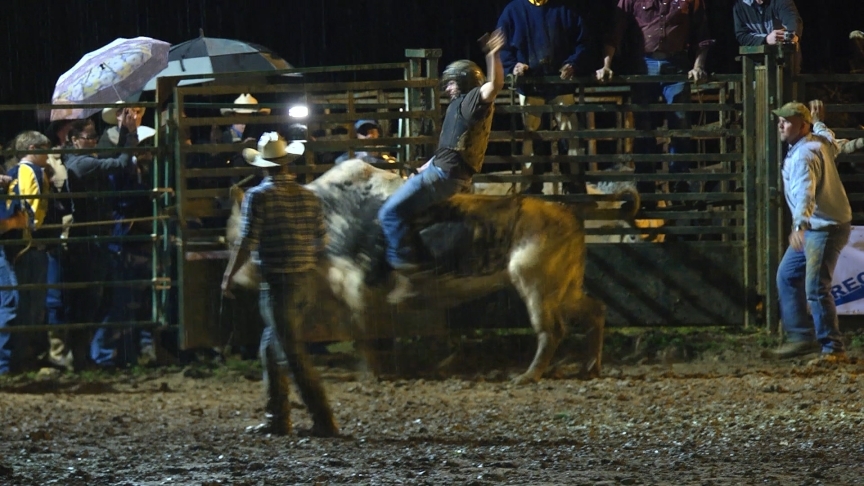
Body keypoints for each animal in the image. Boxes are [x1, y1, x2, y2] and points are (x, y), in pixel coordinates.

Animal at [226, 159, 636, 388]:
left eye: (233, 237)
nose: (233, 281)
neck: (328, 214)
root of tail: (569, 213)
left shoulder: (358, 290)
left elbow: (364, 336)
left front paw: (373, 373)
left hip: (535, 284)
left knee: (551, 330)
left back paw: (528, 375)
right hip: (565, 286)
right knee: (595, 311)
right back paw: (589, 366)